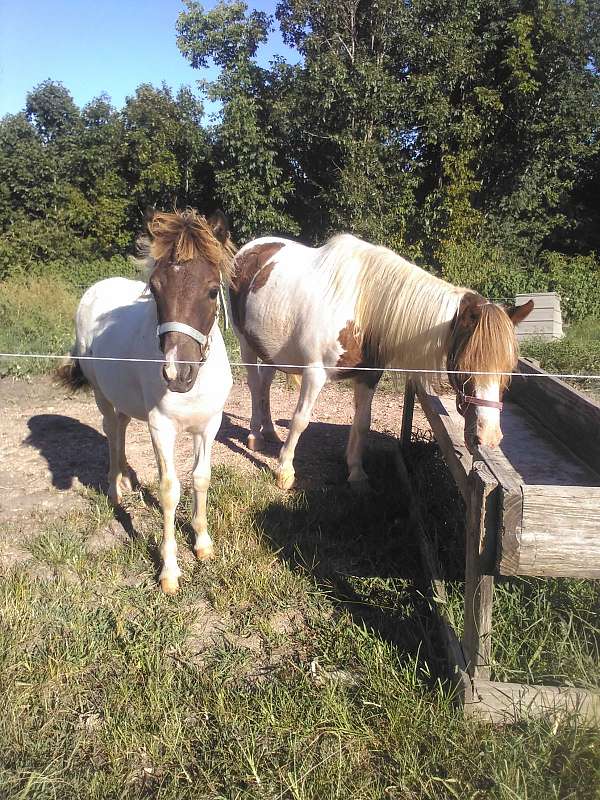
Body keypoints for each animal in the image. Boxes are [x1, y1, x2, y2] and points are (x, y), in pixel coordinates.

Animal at [58, 209, 235, 593]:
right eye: (154, 289)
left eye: (212, 290)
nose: (176, 373)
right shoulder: (161, 427)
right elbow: (169, 490)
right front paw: (169, 571)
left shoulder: (209, 425)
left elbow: (201, 478)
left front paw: (203, 544)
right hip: (102, 395)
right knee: (112, 430)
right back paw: (115, 489)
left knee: (122, 427)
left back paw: (127, 480)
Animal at [229, 233, 533, 490]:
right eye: (464, 364)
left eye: (508, 369)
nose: (489, 436)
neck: (362, 307)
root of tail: (251, 248)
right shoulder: (314, 373)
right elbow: (300, 419)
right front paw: (284, 471)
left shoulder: (369, 376)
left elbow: (362, 423)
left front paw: (356, 472)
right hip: (245, 343)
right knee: (254, 386)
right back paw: (255, 436)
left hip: (269, 351)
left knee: (265, 386)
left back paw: (269, 431)